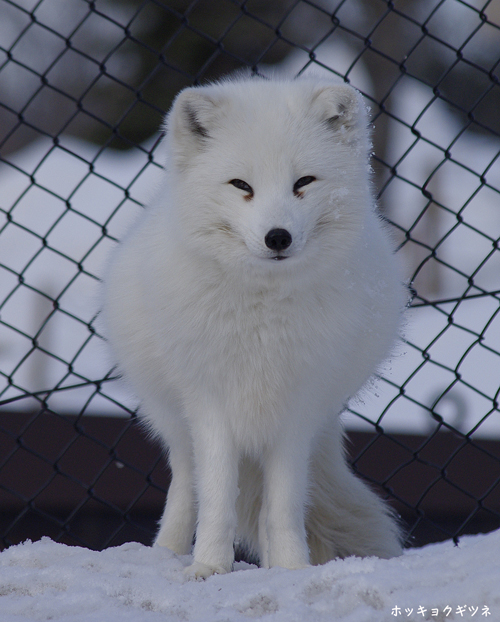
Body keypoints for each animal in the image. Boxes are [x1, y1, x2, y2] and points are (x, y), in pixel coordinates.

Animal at [104, 74, 406, 580]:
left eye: (303, 182)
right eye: (241, 185)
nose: (277, 237)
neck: (263, 314)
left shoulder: (296, 412)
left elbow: (282, 508)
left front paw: (290, 569)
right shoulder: (210, 404)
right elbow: (216, 499)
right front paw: (208, 566)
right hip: (174, 421)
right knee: (185, 487)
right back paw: (166, 553)